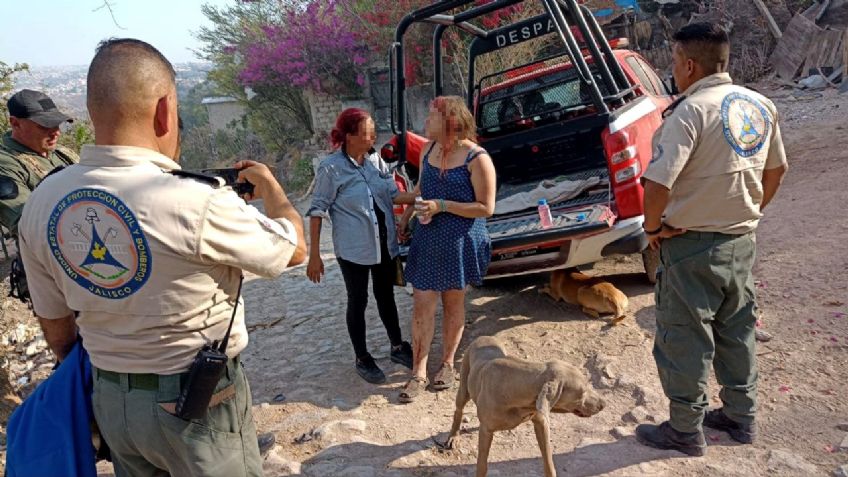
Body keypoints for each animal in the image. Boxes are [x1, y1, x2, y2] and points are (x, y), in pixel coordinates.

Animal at [444, 334, 604, 476]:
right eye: (582, 392)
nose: (604, 404)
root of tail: (483, 337)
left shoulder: (541, 422)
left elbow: (548, 460)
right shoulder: (486, 432)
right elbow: (482, 465)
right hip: (464, 388)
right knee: (458, 410)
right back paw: (453, 437)